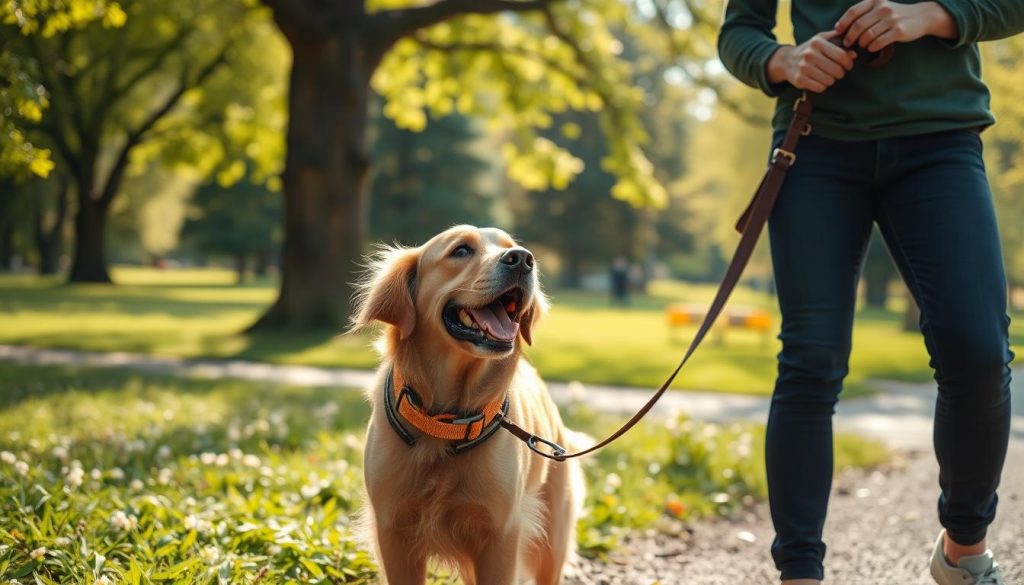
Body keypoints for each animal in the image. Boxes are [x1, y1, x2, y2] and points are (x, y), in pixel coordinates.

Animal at [352, 225, 585, 585]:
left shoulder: (500, 534)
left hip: (552, 535)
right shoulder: (392, 529)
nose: (523, 259)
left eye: (512, 246)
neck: (447, 423)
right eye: (461, 251)